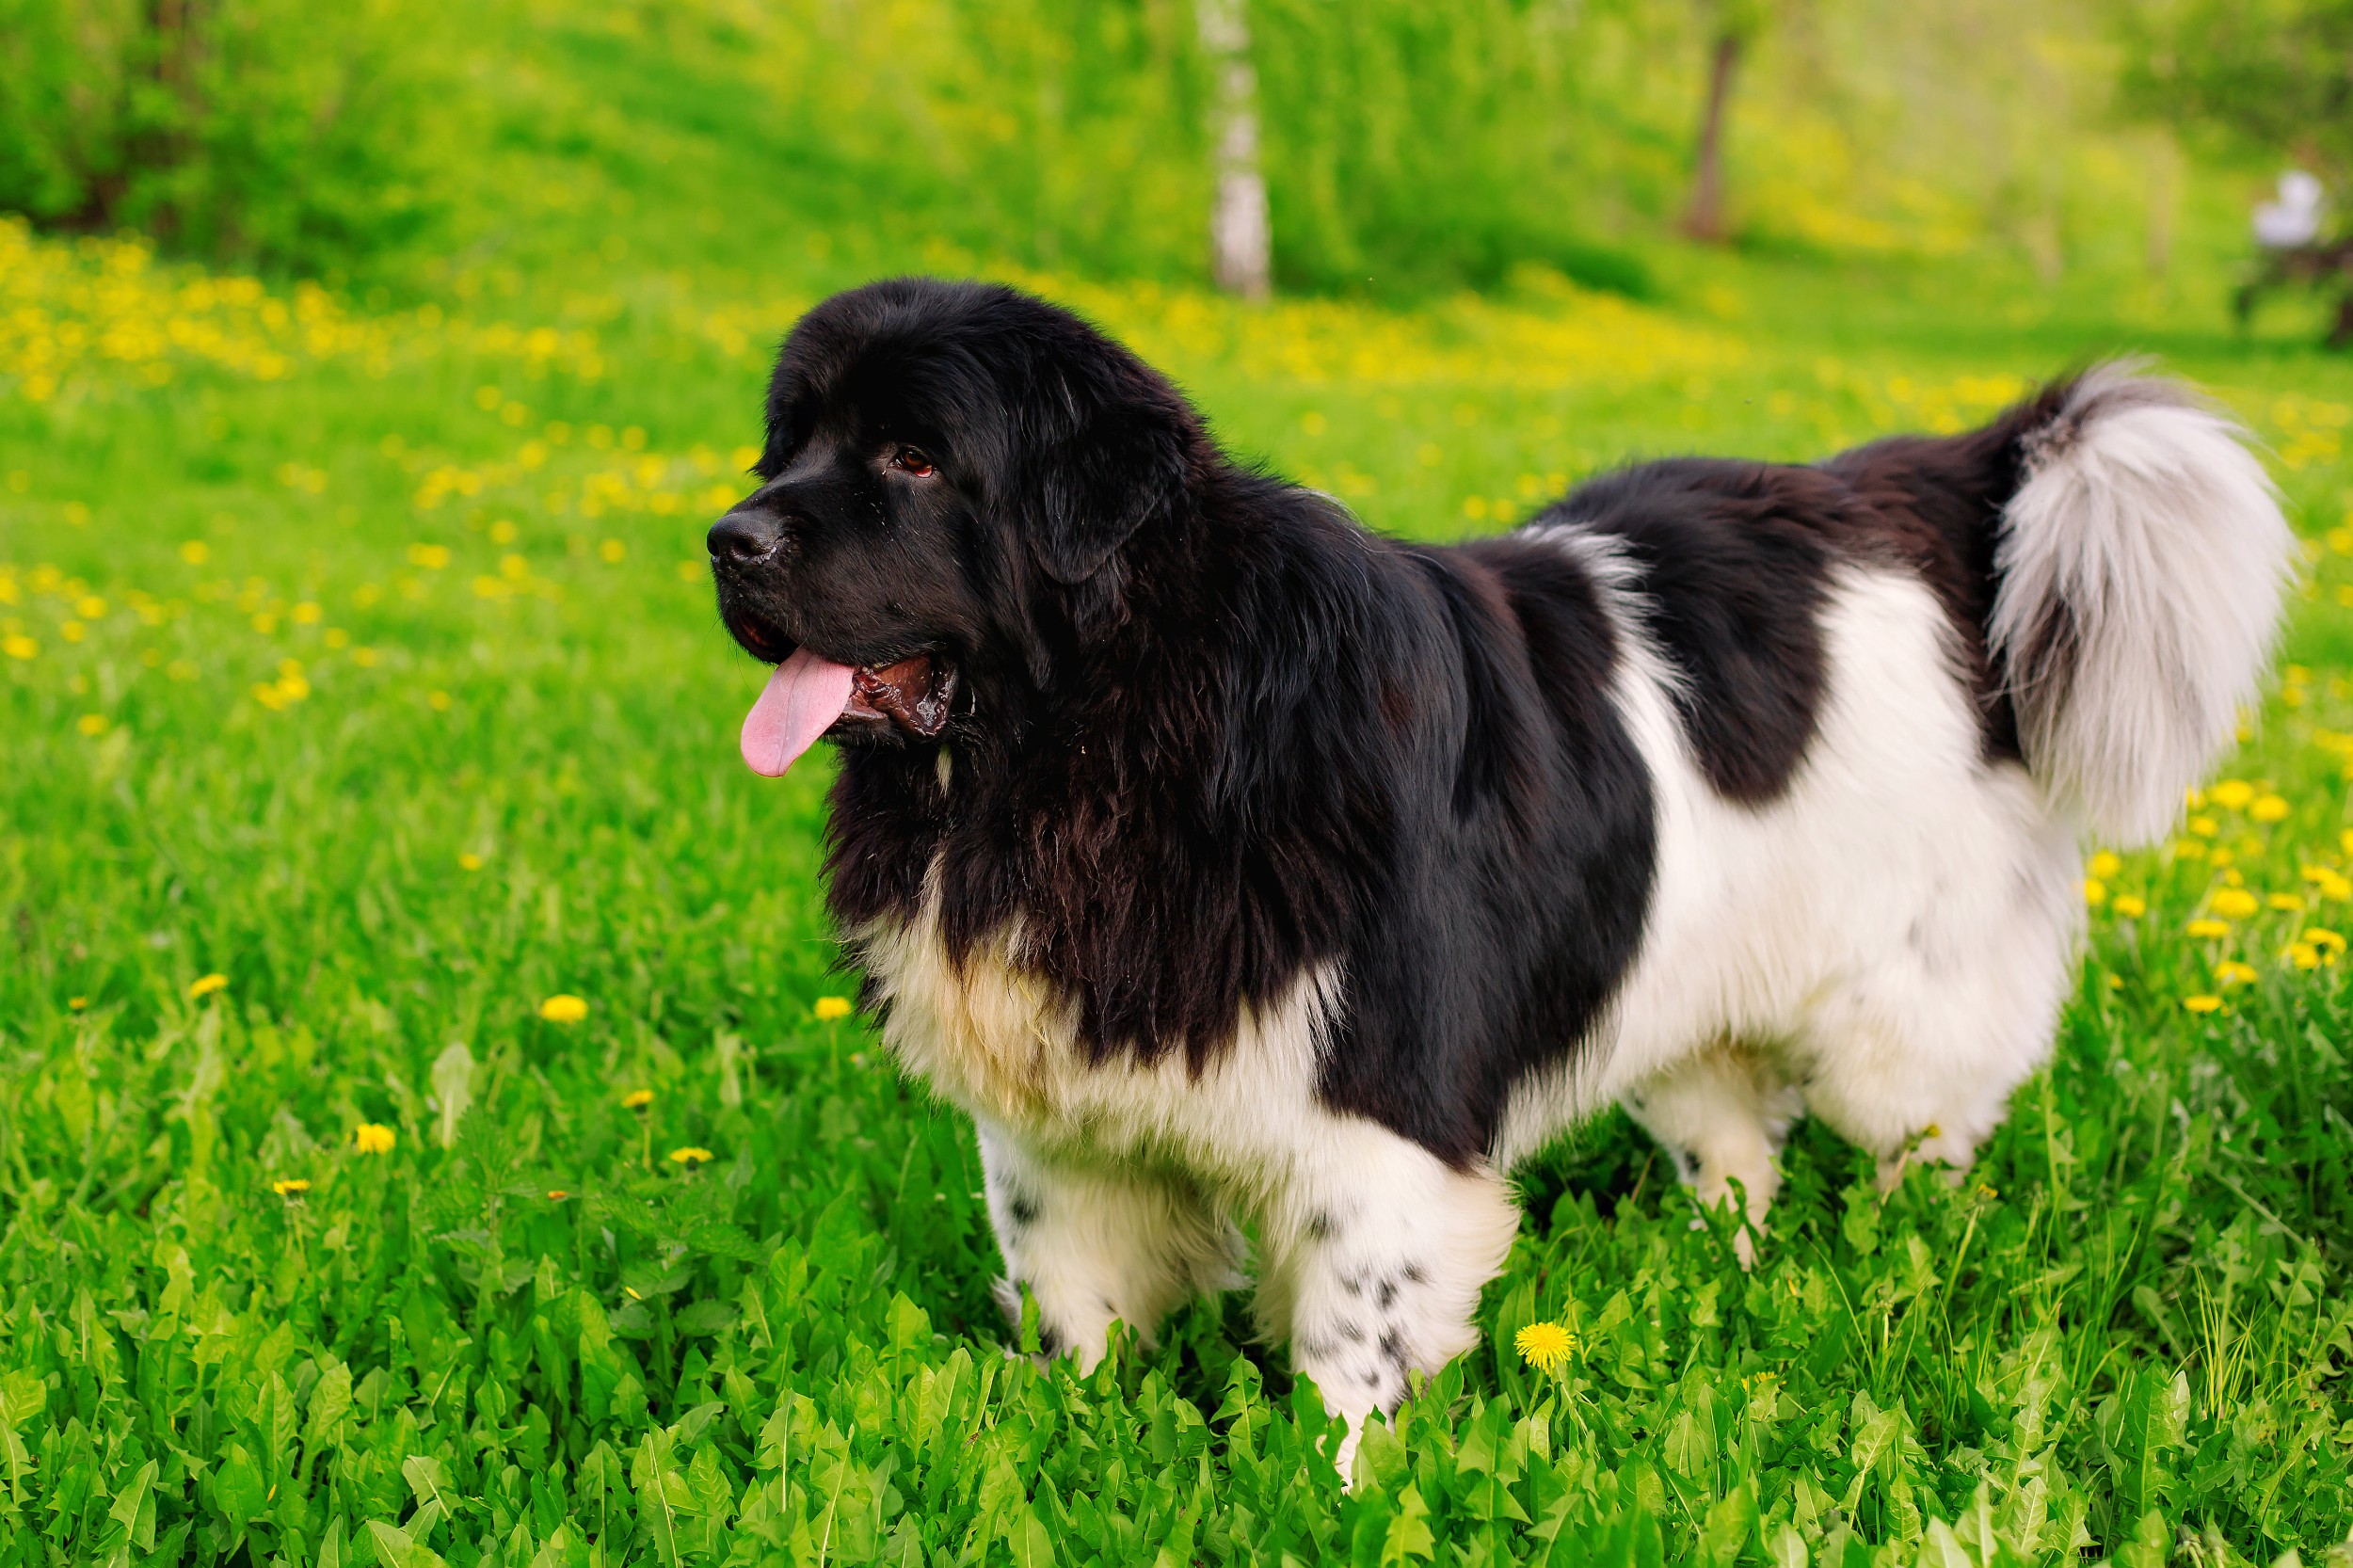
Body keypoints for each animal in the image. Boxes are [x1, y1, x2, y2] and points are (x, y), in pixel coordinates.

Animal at [706, 280, 2287, 1468]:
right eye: (786, 445)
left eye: (915, 460)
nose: (728, 538)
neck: (1107, 740)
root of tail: (1923, 486)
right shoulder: (1064, 1125)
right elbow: (1074, 1302)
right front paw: (1076, 1441)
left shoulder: (1376, 1117)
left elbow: (1352, 1335)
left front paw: (1328, 1491)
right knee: (1733, 1140)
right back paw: (1721, 1266)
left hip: (1898, 1012)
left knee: (1925, 1130)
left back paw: (1903, 1262)